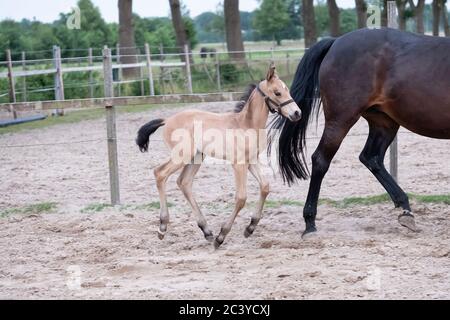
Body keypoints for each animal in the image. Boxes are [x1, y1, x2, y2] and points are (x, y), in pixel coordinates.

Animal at [135, 63, 300, 248]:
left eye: (287, 90)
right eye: (277, 92)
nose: (297, 113)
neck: (246, 124)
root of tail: (167, 120)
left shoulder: (251, 161)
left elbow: (265, 187)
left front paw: (250, 227)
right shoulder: (239, 164)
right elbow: (241, 198)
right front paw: (222, 236)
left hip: (196, 157)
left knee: (184, 182)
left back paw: (206, 230)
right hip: (182, 155)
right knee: (160, 173)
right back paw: (163, 227)